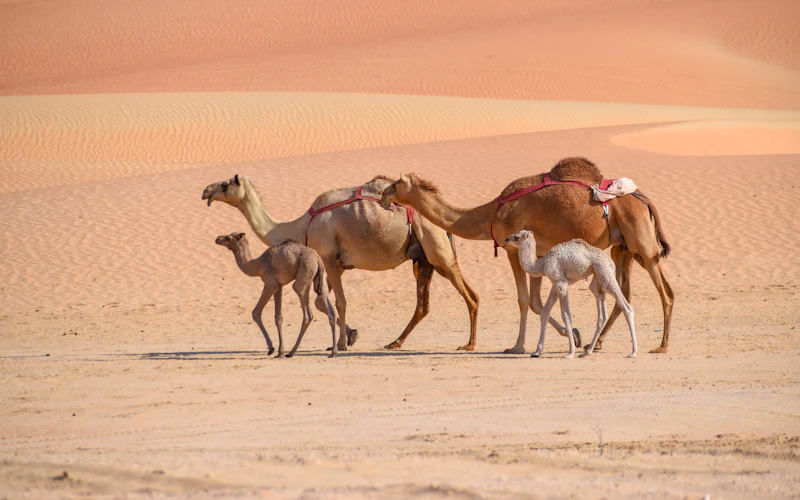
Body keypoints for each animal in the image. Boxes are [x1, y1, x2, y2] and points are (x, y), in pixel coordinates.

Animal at [202, 174, 479, 352]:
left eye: (226, 184)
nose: (206, 190)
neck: (301, 225)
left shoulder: (328, 259)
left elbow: (339, 302)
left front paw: (343, 343)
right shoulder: (335, 265)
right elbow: (321, 301)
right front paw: (350, 335)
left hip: (435, 248)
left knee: (469, 295)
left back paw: (468, 345)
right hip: (423, 259)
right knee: (425, 304)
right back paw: (395, 342)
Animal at [505, 231, 637, 358]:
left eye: (517, 237)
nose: (506, 238)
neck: (542, 263)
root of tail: (610, 261)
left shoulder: (561, 282)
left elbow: (566, 314)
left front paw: (570, 352)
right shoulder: (555, 284)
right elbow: (545, 312)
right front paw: (537, 351)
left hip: (604, 272)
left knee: (626, 307)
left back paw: (633, 352)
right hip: (597, 277)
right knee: (602, 313)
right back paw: (586, 352)